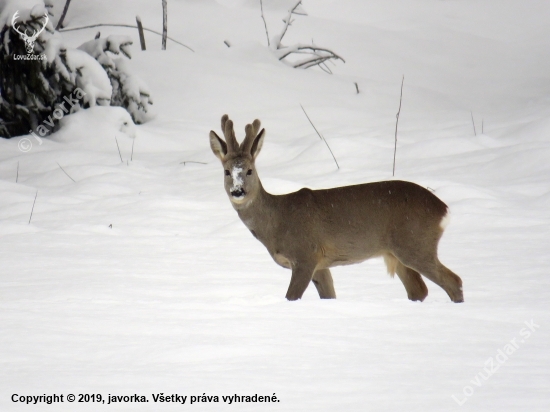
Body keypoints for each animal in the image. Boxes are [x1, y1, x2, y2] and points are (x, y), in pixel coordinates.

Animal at [209, 115, 464, 302]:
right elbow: (330, 296)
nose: (238, 191)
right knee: (419, 290)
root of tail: (443, 209)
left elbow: (291, 296)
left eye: (249, 170)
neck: (277, 222)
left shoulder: (306, 254)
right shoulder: (321, 264)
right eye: (227, 171)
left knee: (454, 280)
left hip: (415, 243)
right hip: (395, 253)